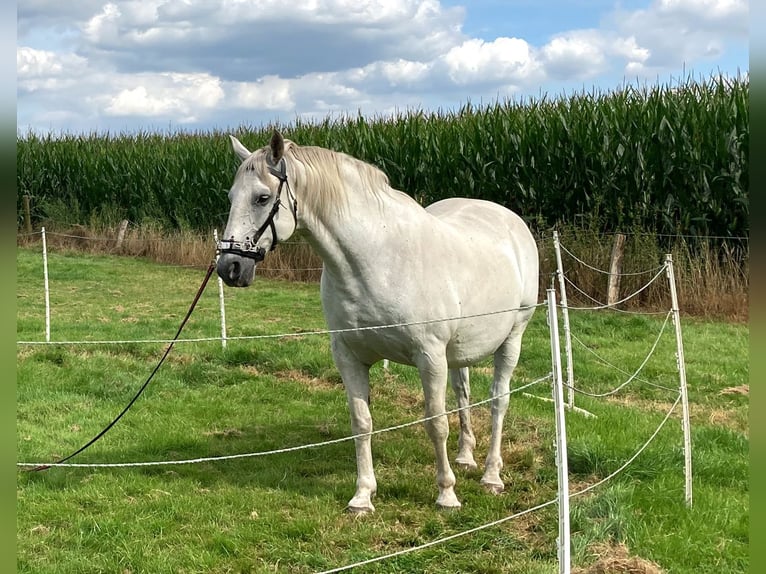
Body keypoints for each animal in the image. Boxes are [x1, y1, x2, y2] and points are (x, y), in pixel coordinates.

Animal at [216, 132, 540, 512]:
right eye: (231, 197)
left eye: (262, 197)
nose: (229, 268)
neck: (377, 259)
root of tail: (510, 220)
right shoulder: (349, 356)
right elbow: (362, 422)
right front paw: (362, 496)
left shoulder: (430, 357)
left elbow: (436, 423)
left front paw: (446, 494)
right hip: (458, 352)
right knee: (464, 394)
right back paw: (464, 458)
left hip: (512, 339)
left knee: (498, 400)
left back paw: (491, 476)